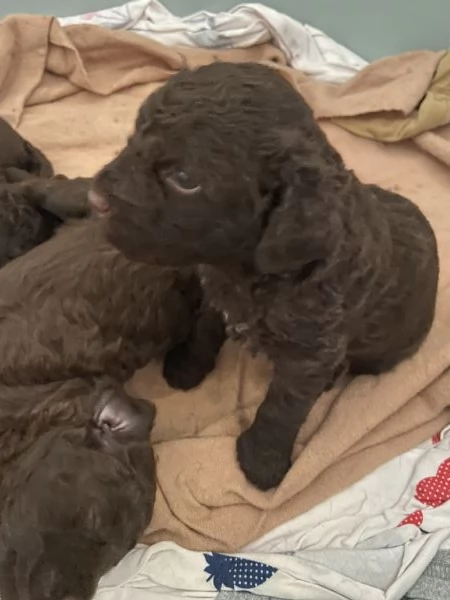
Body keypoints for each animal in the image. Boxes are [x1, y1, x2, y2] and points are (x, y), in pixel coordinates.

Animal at [90, 61, 440, 492]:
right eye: (135, 133)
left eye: (185, 179)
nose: (95, 197)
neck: (247, 270)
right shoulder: (216, 294)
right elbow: (204, 331)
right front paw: (187, 367)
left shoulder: (310, 353)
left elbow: (281, 407)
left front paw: (262, 459)